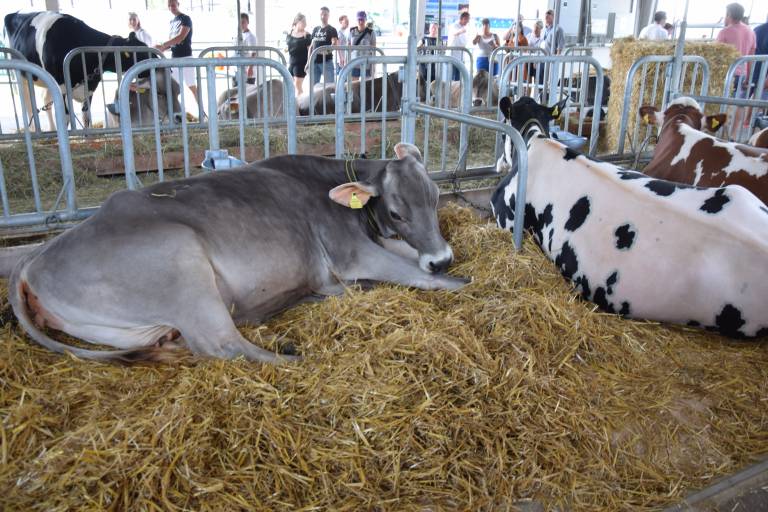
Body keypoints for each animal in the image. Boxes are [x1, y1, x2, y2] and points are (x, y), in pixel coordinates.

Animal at [0, 144, 468, 363]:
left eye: (435, 196)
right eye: (397, 211)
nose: (442, 257)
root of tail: (33, 258)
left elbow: (408, 260)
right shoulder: (352, 252)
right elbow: (420, 276)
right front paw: (457, 279)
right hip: (180, 263)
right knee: (221, 344)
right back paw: (293, 355)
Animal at [4, 11, 154, 129]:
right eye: (143, 54)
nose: (157, 59)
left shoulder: (89, 87)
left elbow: (86, 116)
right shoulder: (62, 87)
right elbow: (65, 117)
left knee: (45, 101)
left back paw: (51, 129)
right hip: (20, 75)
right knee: (28, 104)